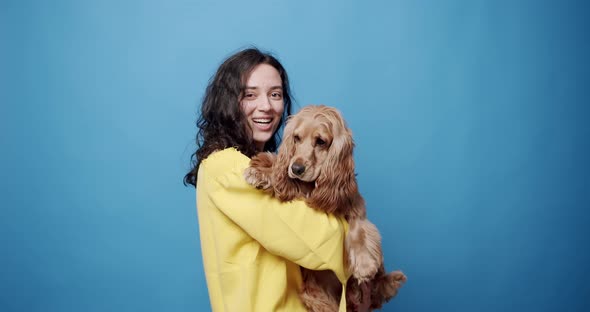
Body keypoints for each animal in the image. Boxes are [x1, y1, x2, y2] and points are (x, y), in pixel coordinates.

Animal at [245, 105, 408, 312]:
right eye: (296, 138)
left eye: (321, 141)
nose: (296, 168)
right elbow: (291, 182)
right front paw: (264, 168)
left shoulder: (355, 207)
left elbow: (358, 230)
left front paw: (364, 265)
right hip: (314, 296)